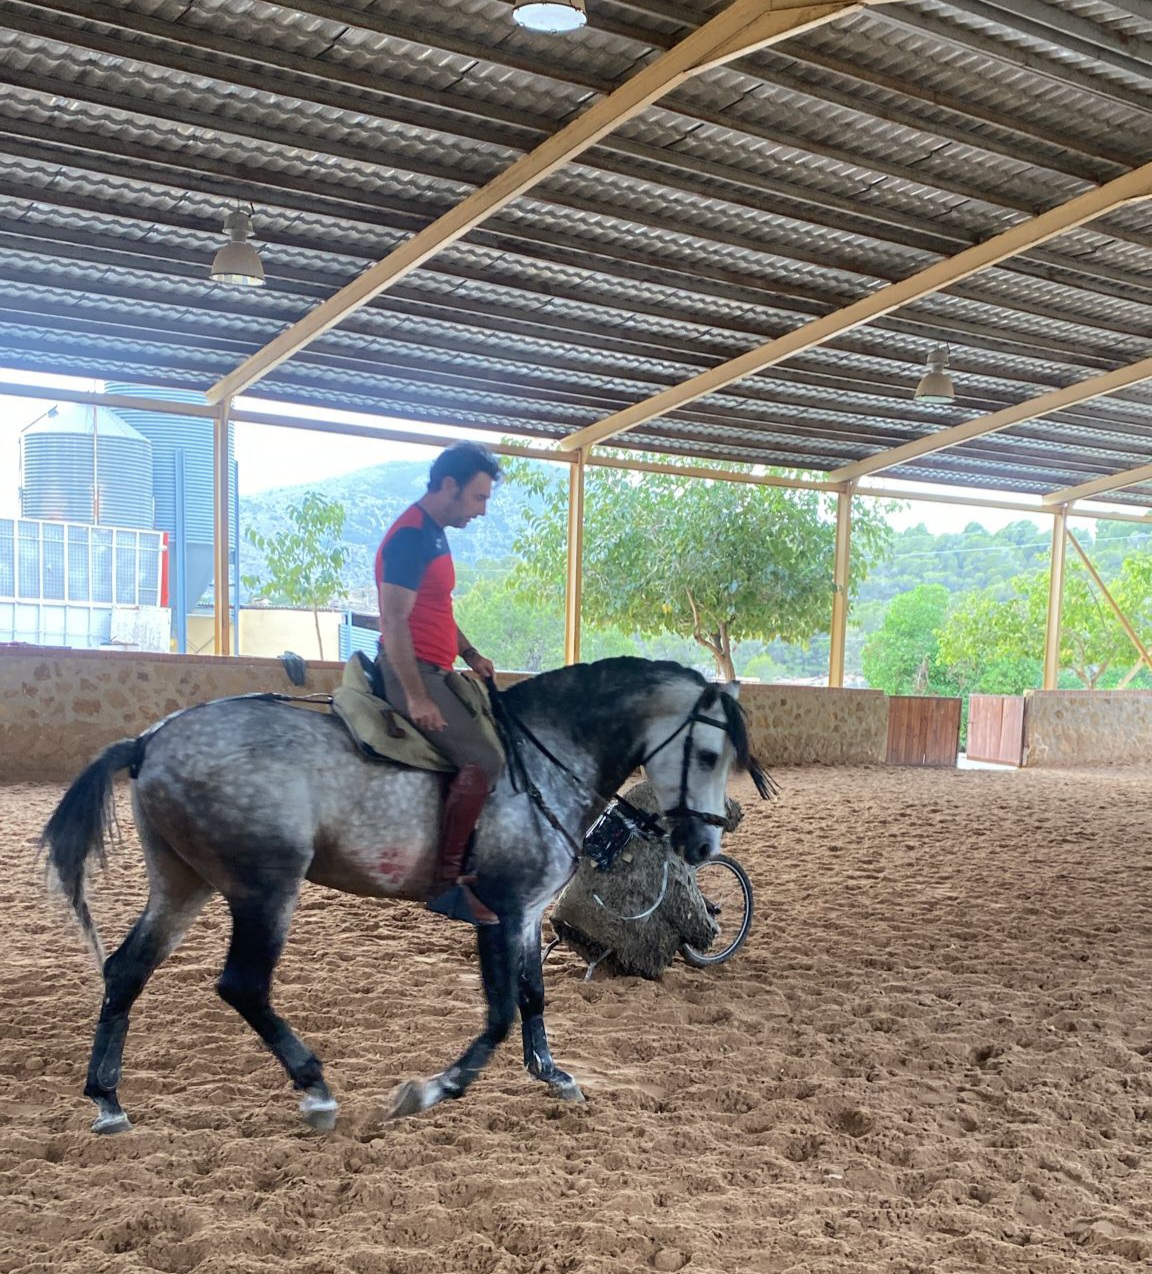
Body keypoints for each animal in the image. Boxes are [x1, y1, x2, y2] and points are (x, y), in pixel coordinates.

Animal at [40, 656, 771, 1135]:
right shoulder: (499, 909)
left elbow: (533, 997)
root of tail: (150, 740)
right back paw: (315, 1090)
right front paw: (432, 1090)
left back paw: (107, 1100)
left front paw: (551, 1073)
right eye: (711, 755)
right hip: (265, 887)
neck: (547, 757)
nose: (704, 844)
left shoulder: (529, 914)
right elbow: (500, 1012)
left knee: (126, 969)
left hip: (182, 883)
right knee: (242, 985)